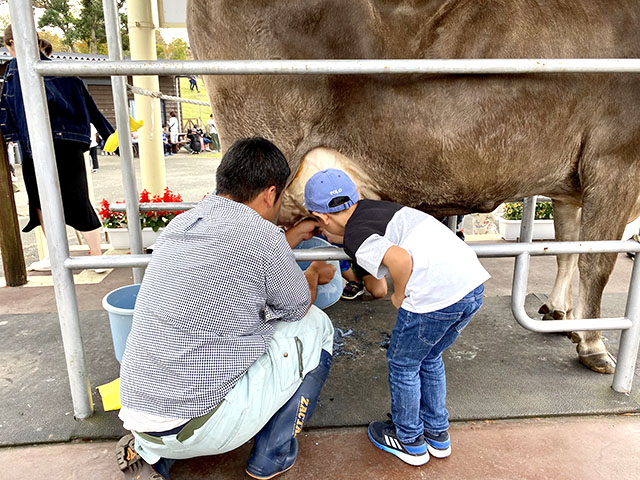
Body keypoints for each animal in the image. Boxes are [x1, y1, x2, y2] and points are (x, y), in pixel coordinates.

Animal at [188, 0, 640, 376]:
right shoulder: (616, 160)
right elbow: (597, 262)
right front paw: (594, 345)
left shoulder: (572, 185)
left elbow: (568, 250)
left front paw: (563, 316)